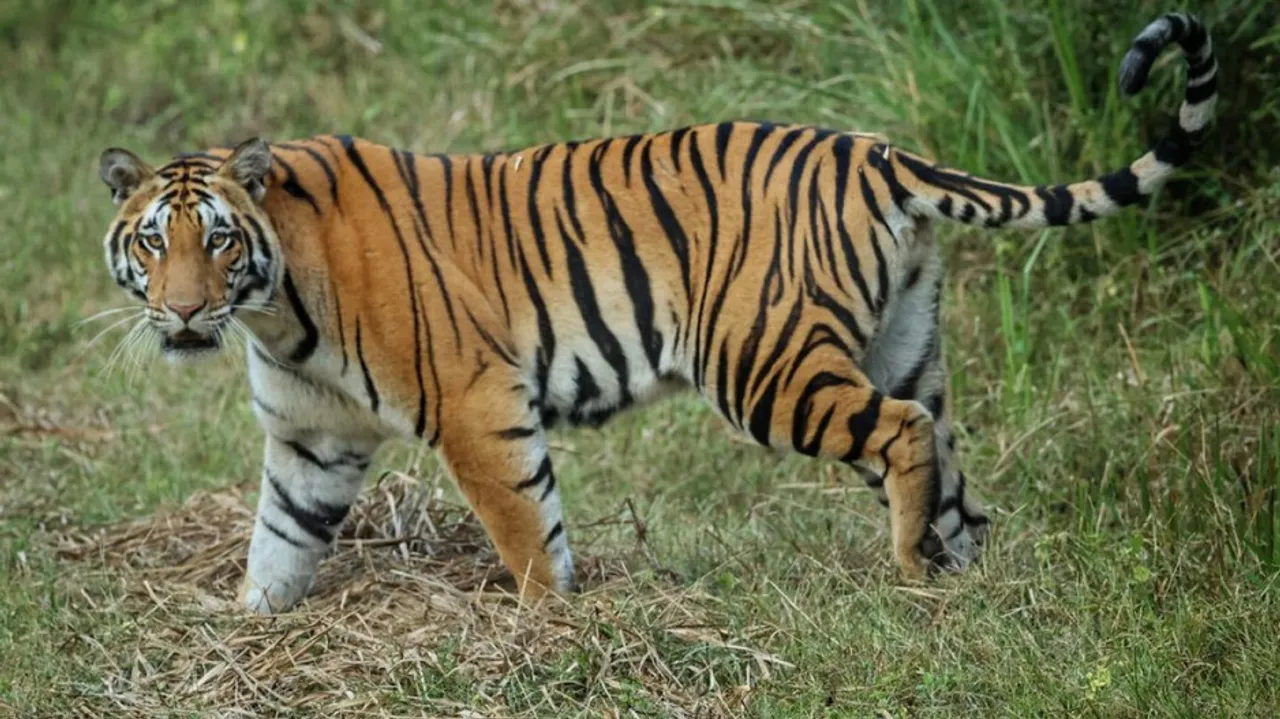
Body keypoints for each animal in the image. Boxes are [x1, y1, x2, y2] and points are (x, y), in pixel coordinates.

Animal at [94, 13, 1216, 614]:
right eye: (154, 242)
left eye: (218, 240)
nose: (184, 312)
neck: (274, 310)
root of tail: (875, 149)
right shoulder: (309, 441)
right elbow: (276, 543)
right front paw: (252, 626)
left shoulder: (476, 403)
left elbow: (527, 527)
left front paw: (547, 623)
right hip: (902, 348)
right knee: (953, 478)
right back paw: (959, 587)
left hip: (766, 365)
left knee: (900, 436)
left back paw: (905, 576)